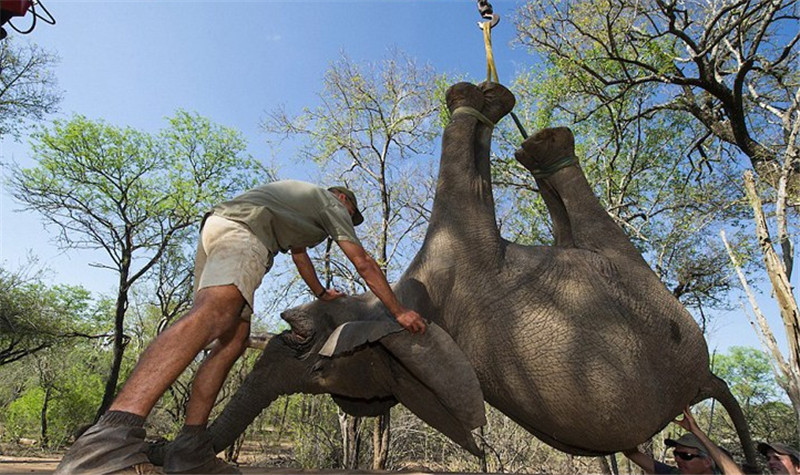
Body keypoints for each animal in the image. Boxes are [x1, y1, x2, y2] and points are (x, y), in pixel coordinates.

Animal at [161, 81, 756, 468]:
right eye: (324, 376)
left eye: (304, 340)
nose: (173, 453)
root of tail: (702, 381)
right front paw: (484, 102)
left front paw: (480, 99)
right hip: (644, 289)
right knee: (584, 221)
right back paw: (543, 148)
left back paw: (540, 144)